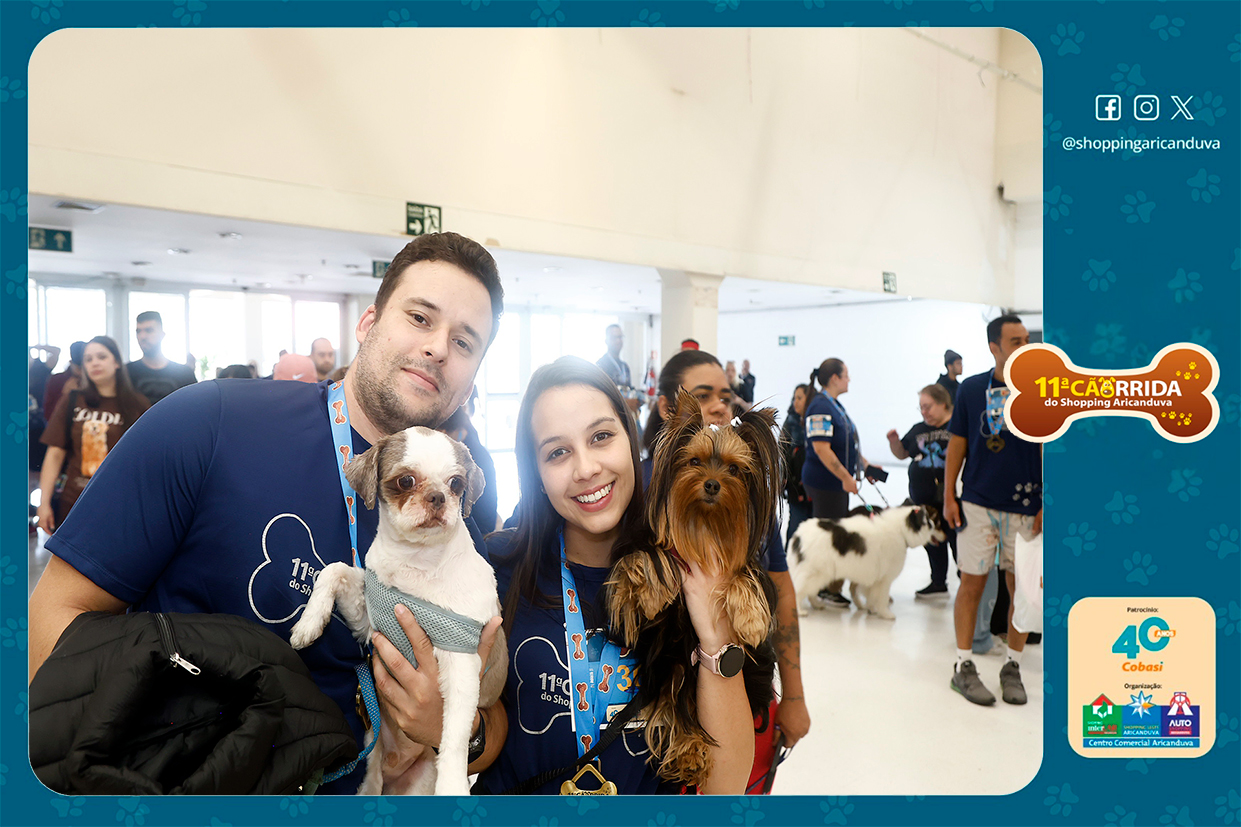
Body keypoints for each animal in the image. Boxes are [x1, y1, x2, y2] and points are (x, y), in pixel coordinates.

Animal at [289, 426, 507, 795]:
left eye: (456, 484)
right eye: (406, 481)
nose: (437, 496)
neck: (417, 562)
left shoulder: (461, 661)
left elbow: (456, 734)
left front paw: (453, 784)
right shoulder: (366, 620)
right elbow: (333, 570)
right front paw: (309, 624)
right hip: (370, 763)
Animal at [606, 388, 782, 788]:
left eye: (734, 469)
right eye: (695, 461)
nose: (713, 484)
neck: (705, 526)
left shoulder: (746, 565)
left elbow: (743, 577)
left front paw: (750, 619)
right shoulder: (648, 545)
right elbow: (644, 557)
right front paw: (650, 591)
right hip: (670, 659)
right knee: (675, 701)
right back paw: (688, 750)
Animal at [788, 504, 944, 620]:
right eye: (928, 521)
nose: (932, 525)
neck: (900, 531)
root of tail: (798, 535)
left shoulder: (872, 577)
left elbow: (870, 595)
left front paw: (871, 609)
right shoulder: (884, 580)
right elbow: (882, 598)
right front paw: (886, 614)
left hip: (821, 574)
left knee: (811, 591)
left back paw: (817, 605)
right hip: (815, 573)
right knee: (799, 591)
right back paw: (800, 611)